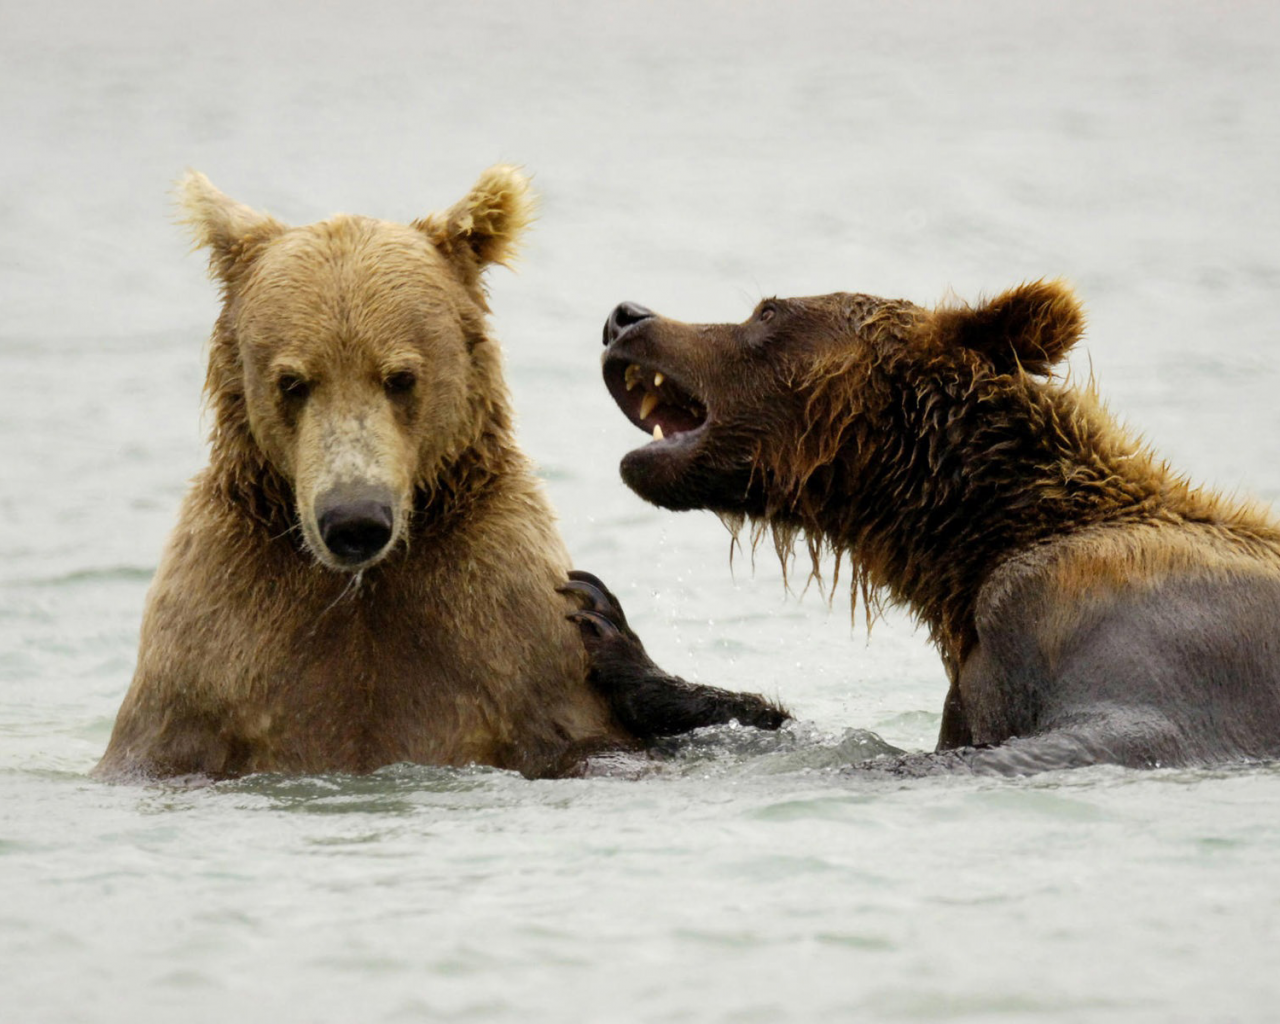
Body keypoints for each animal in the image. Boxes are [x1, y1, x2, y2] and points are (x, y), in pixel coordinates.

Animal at [94, 167, 778, 778]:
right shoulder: (216, 648)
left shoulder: (505, 627)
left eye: (400, 376)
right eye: (292, 381)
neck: (364, 586)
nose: (355, 520)